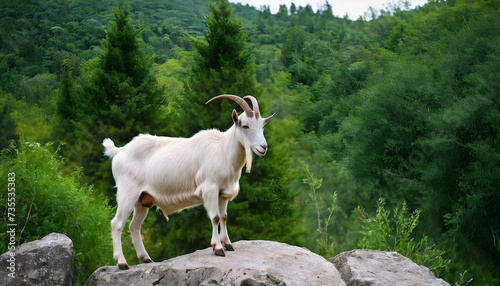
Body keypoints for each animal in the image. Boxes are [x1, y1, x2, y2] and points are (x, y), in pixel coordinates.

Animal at [101, 95, 274, 270]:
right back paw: (122, 263)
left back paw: (146, 258)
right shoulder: (210, 189)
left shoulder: (223, 193)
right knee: (117, 224)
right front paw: (218, 248)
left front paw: (228, 244)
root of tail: (120, 151)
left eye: (262, 125)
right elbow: (215, 217)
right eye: (245, 126)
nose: (263, 147)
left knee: (134, 226)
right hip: (127, 194)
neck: (223, 150)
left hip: (142, 200)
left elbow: (224, 217)